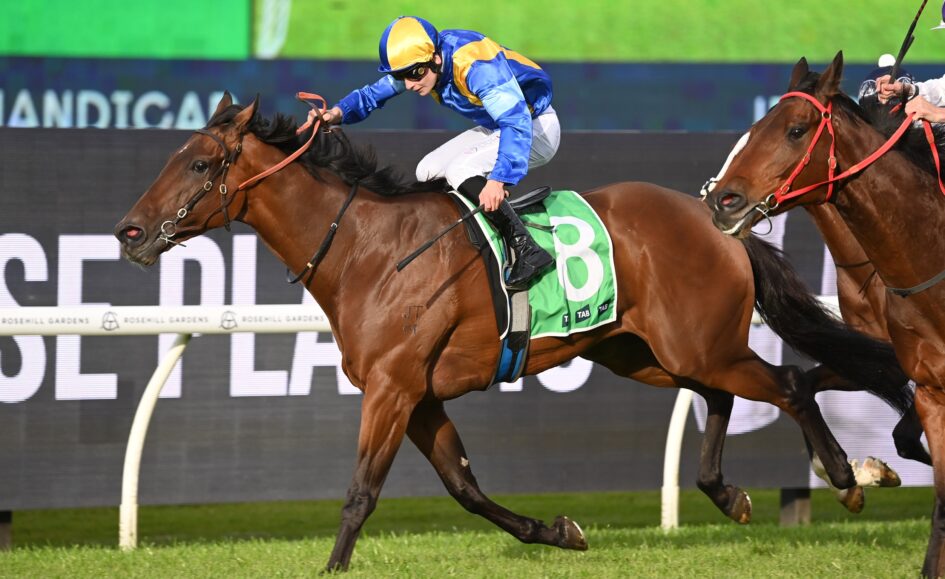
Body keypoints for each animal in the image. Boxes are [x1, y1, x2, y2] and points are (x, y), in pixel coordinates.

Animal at [115, 93, 911, 572]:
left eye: (199, 162)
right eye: (172, 155)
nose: (129, 232)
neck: (367, 250)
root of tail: (716, 216)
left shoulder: (392, 387)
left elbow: (361, 491)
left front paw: (333, 565)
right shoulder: (419, 395)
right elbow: (464, 486)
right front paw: (557, 531)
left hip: (693, 343)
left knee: (785, 382)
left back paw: (848, 476)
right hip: (646, 351)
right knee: (721, 395)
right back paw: (728, 492)